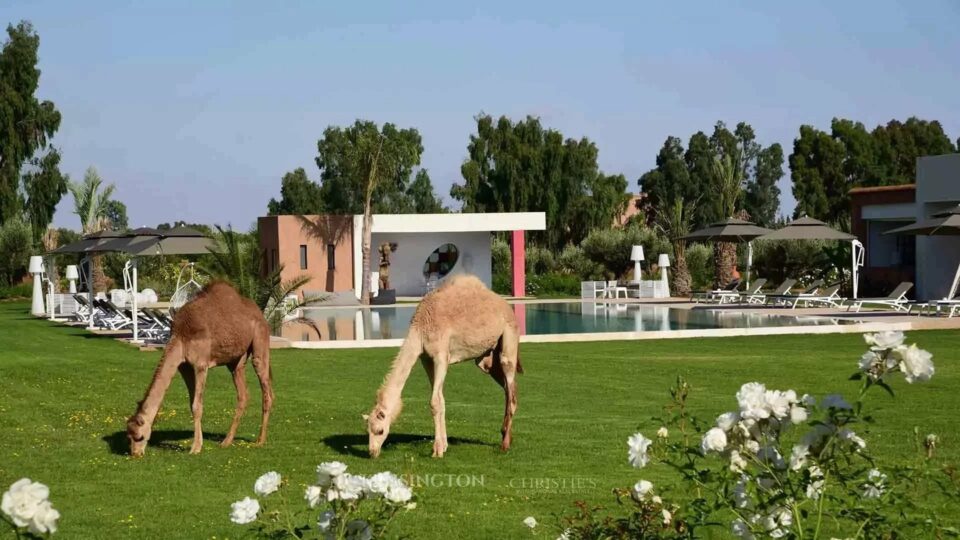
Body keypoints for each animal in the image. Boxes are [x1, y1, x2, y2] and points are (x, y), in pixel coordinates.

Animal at [124, 280, 274, 458]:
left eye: (139, 437)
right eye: (129, 436)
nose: (135, 454)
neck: (181, 335)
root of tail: (259, 313)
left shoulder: (201, 364)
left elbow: (197, 405)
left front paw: (195, 448)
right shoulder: (184, 366)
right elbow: (192, 404)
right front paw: (199, 443)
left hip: (260, 340)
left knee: (266, 390)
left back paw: (260, 440)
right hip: (236, 361)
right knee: (243, 395)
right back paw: (226, 441)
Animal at [366, 274, 520, 460]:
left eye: (380, 430)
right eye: (367, 431)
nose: (372, 452)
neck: (421, 328)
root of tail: (507, 306)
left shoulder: (441, 356)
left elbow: (434, 401)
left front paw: (437, 450)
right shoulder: (425, 358)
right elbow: (441, 399)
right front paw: (444, 445)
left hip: (509, 341)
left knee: (511, 389)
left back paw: (504, 445)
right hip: (487, 359)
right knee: (508, 389)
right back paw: (506, 436)